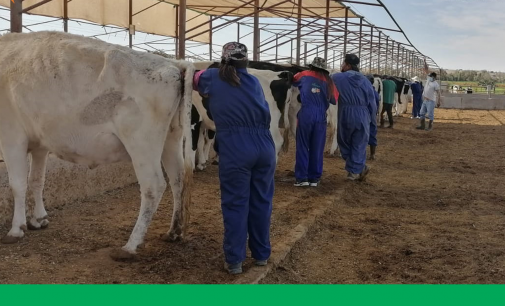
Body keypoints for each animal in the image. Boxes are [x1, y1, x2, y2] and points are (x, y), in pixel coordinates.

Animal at [0, 31, 193, 260]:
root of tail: (173, 63)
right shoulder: (39, 144)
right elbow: (37, 180)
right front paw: (38, 220)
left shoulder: (11, 136)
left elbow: (17, 184)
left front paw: (15, 229)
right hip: (171, 138)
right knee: (177, 179)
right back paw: (174, 232)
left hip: (142, 143)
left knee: (153, 186)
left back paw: (130, 246)